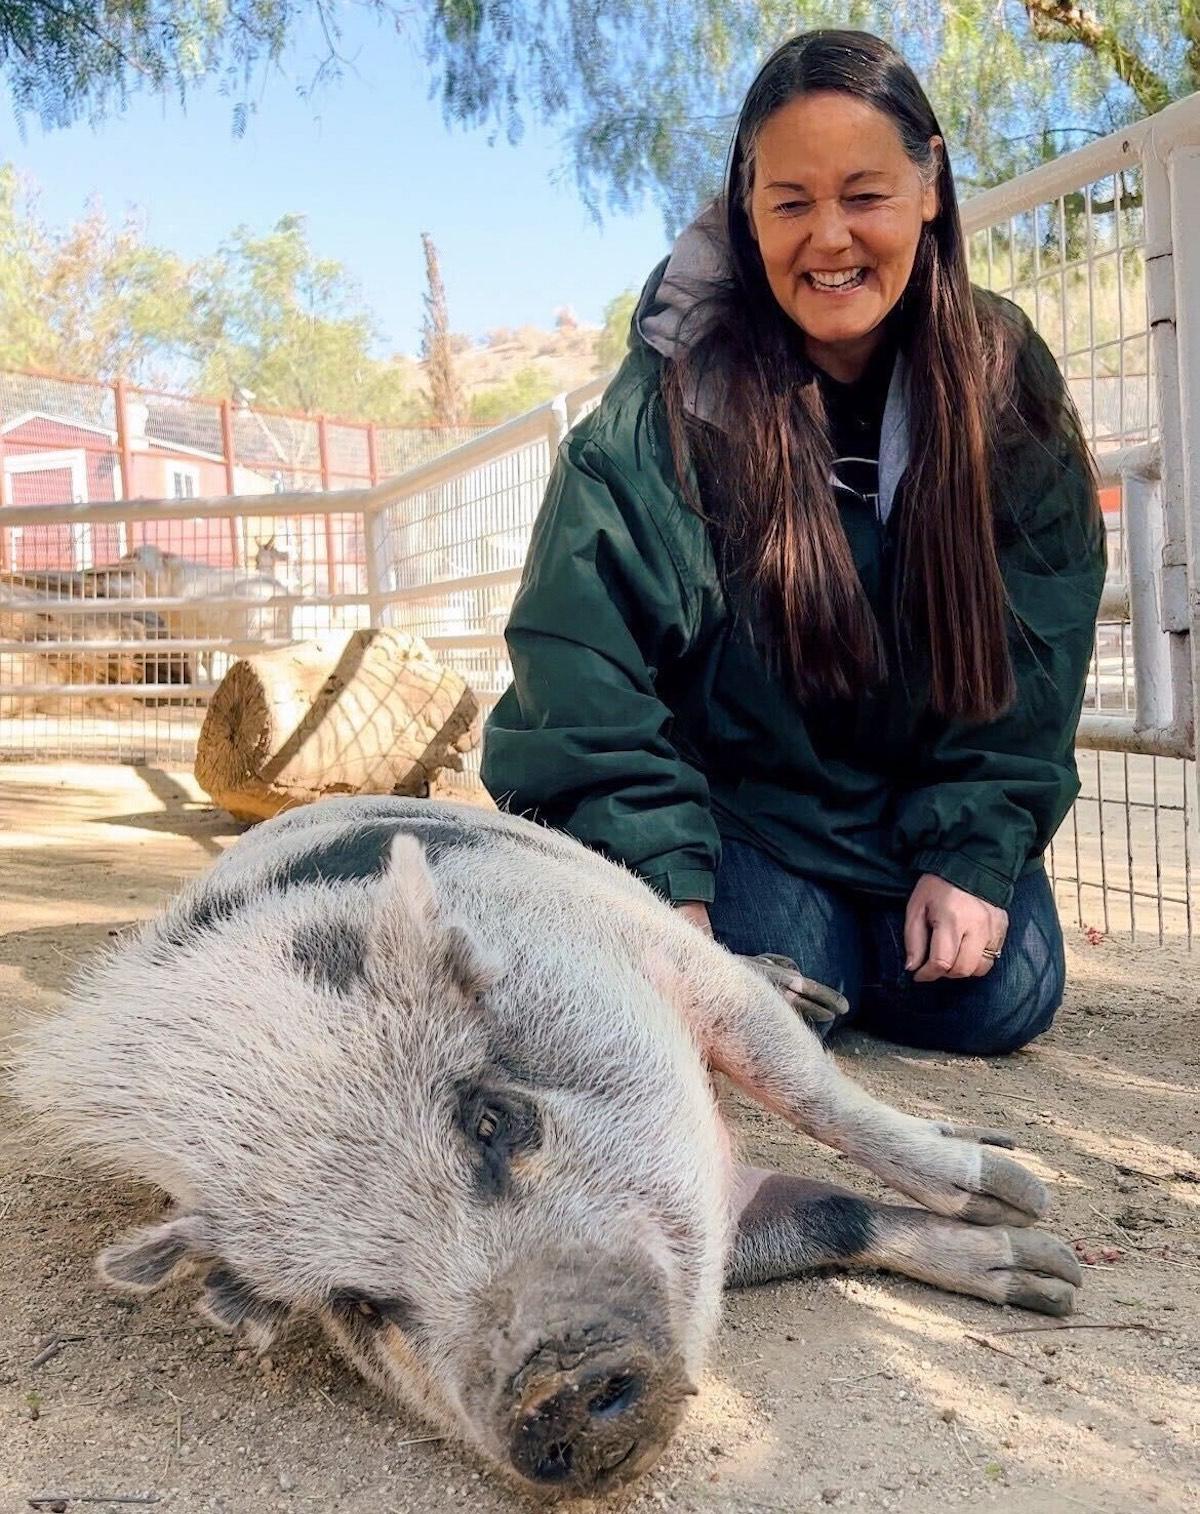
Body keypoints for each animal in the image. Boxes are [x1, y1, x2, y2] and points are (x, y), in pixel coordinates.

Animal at [6, 799, 1077, 1495]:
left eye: (493, 1119)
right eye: (361, 1305)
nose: (547, 1390)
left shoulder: (660, 960)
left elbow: (812, 1091)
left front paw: (1019, 1196)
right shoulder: (715, 1221)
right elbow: (825, 1215)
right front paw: (1042, 1277)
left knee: (777, 997)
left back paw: (821, 999)